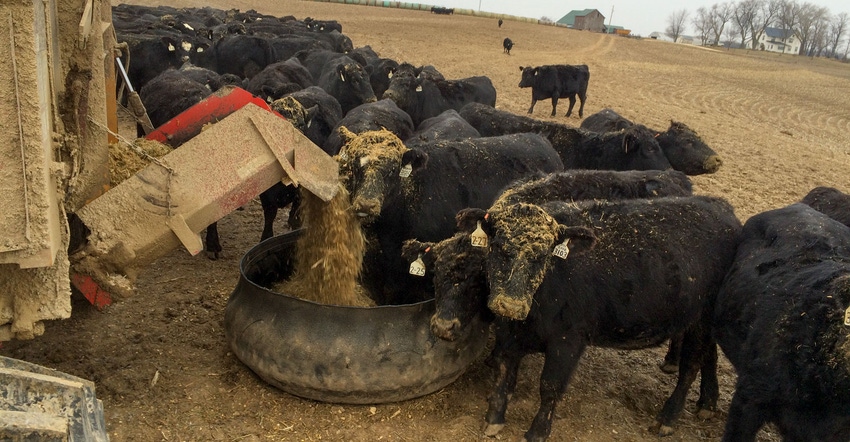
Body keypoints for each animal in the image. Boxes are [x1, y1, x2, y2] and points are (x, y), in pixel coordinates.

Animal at [414, 198, 740, 442]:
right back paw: (707, 403)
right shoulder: (509, 335)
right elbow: (505, 375)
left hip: (700, 321)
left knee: (690, 367)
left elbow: (550, 386)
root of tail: (722, 208)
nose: (510, 305)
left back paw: (668, 418)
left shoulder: (568, 340)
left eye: (542, 256)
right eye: (499, 248)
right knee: (708, 358)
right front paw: (494, 418)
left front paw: (537, 431)